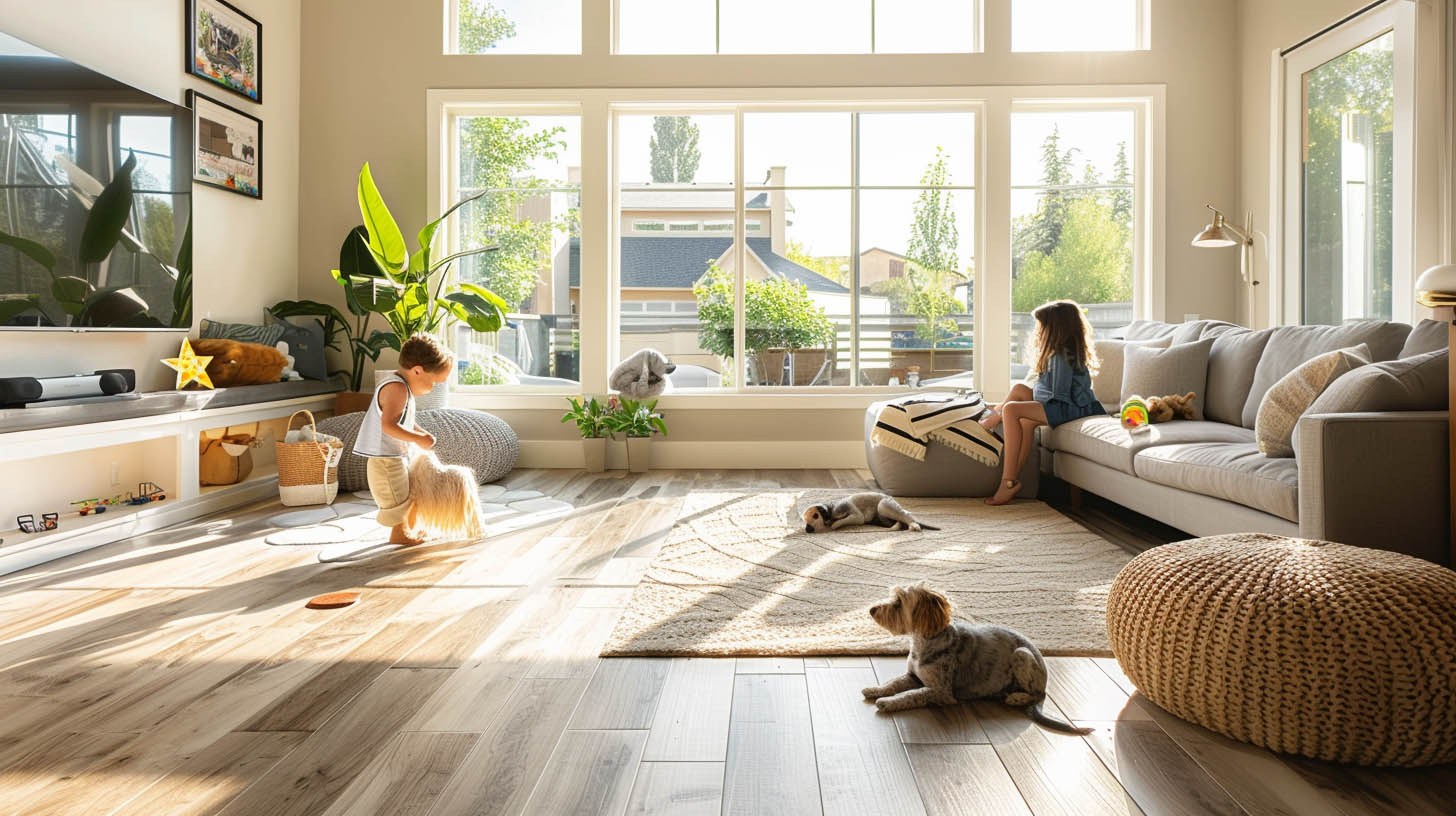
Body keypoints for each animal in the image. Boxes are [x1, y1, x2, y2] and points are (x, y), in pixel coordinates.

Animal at [856, 579, 1089, 734]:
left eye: (898, 602)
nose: (871, 610)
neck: (924, 642)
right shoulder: (913, 676)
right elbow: (894, 683)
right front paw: (876, 690)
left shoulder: (941, 692)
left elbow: (911, 695)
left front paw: (888, 702)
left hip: (1022, 655)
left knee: (1037, 694)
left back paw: (1016, 697)